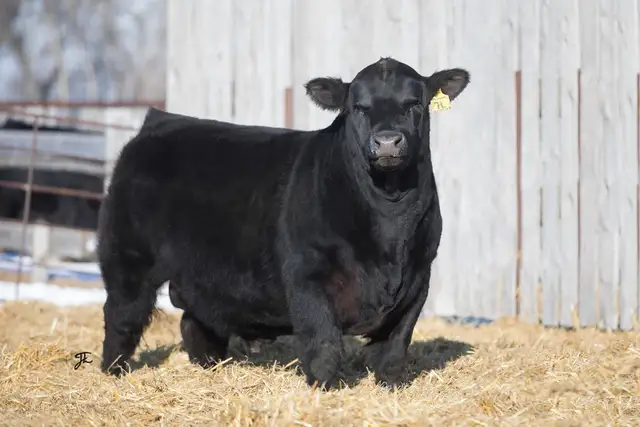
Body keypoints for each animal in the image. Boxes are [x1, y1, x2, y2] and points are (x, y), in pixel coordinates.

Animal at [98, 57, 470, 389]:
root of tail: (161, 121)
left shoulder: (418, 277)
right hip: (127, 258)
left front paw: (390, 387)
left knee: (195, 322)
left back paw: (210, 366)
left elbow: (395, 345)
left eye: (414, 103)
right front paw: (323, 389)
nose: (388, 141)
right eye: (358, 107)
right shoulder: (307, 275)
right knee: (122, 316)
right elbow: (324, 343)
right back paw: (113, 371)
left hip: (202, 279)